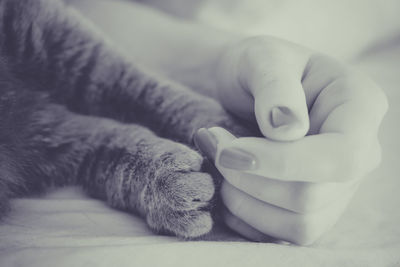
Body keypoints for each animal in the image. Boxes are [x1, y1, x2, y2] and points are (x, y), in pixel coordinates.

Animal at [0, 0, 258, 240]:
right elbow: (112, 145)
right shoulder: (46, 137)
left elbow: (139, 88)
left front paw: (233, 130)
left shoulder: (53, 31)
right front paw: (165, 183)